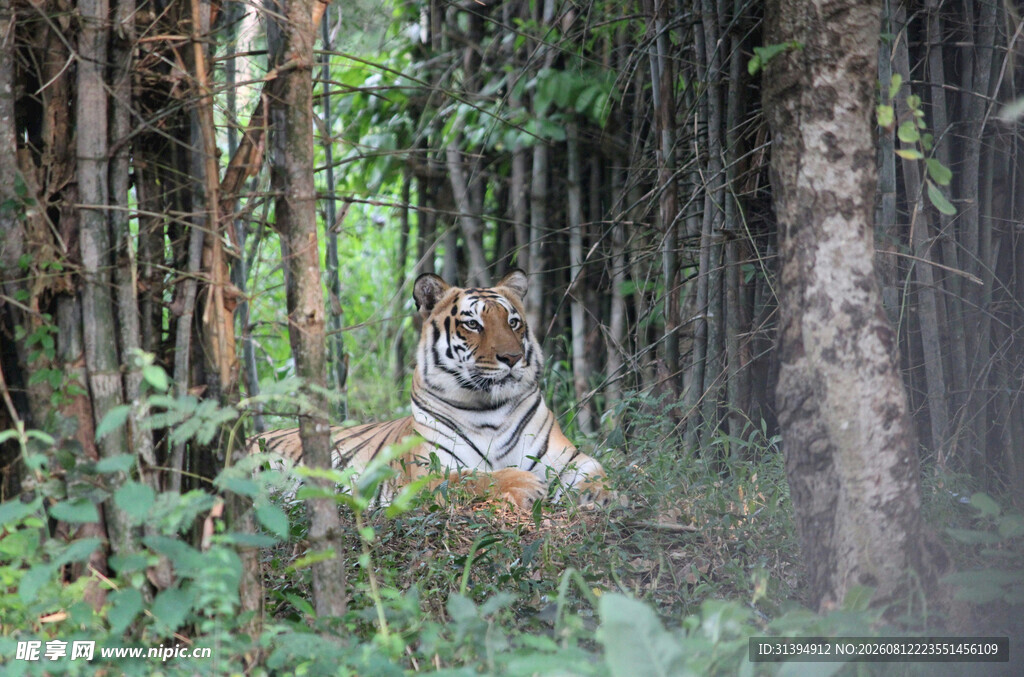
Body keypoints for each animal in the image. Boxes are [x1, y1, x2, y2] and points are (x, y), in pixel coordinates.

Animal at [248, 269, 610, 509]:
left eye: (513, 322)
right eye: (473, 324)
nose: (512, 358)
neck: (489, 408)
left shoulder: (566, 456)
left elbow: (596, 470)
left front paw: (601, 495)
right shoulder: (427, 474)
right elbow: (475, 477)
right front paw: (524, 482)